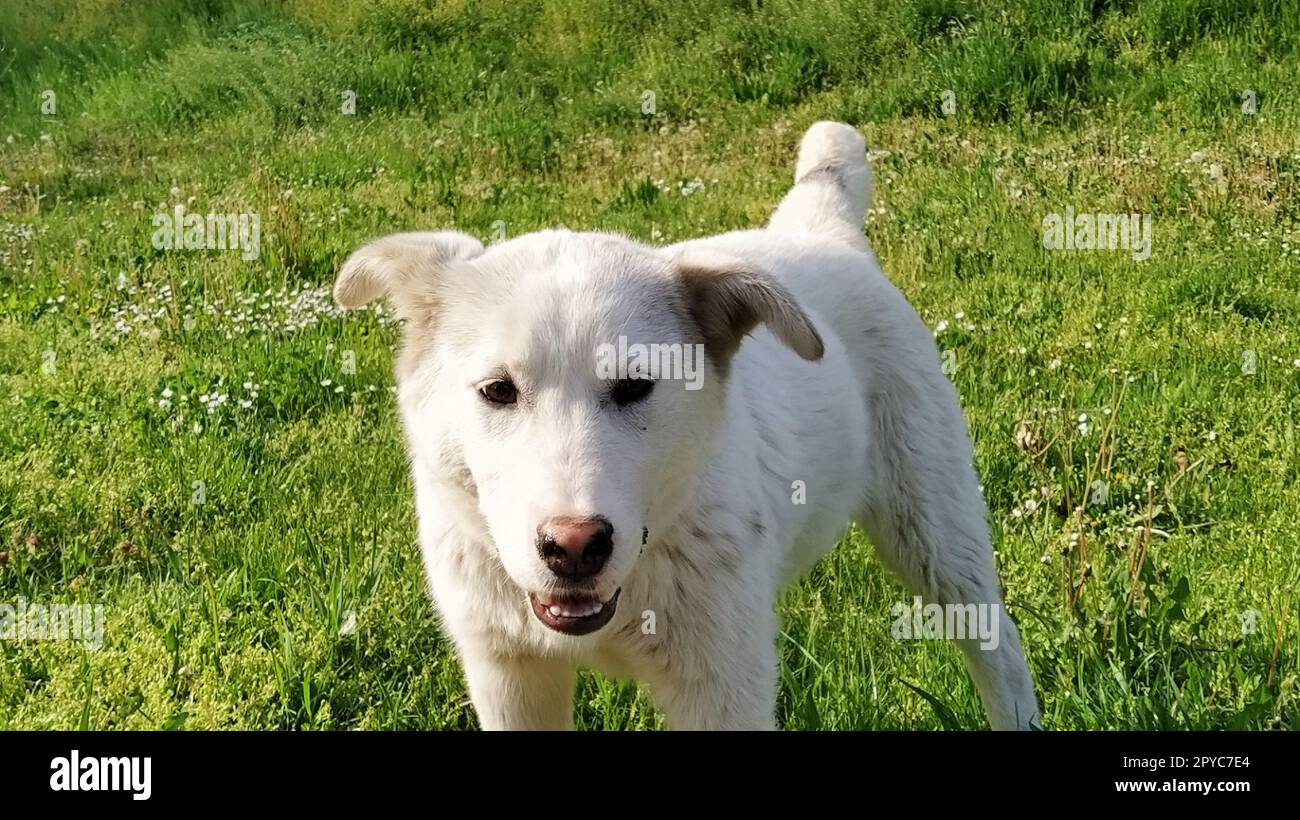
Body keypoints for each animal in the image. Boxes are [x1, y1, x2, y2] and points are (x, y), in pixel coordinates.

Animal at [332, 122, 1034, 732]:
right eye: (498, 391)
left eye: (635, 387)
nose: (574, 547)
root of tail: (821, 228)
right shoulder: (510, 678)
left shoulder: (723, 688)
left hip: (937, 535)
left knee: (999, 649)